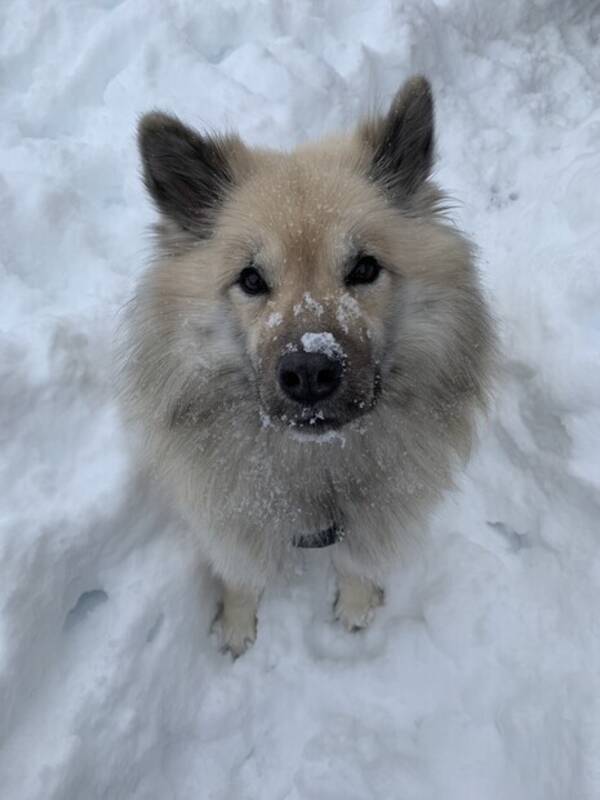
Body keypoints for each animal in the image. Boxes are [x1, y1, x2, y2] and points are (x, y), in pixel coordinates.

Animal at [119, 76, 494, 656]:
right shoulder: (226, 517)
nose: (310, 371)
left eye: (364, 268)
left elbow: (358, 562)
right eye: (251, 279)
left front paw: (357, 606)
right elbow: (240, 575)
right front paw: (236, 626)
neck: (315, 467)